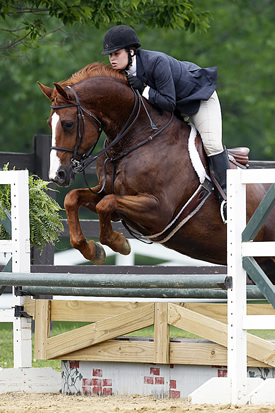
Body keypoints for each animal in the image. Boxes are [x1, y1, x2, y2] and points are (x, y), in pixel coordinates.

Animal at [37, 62, 275, 280]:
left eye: (68, 124)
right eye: (49, 123)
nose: (57, 175)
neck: (138, 137)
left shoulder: (158, 211)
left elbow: (106, 204)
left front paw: (119, 243)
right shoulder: (108, 192)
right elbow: (73, 198)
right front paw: (93, 250)